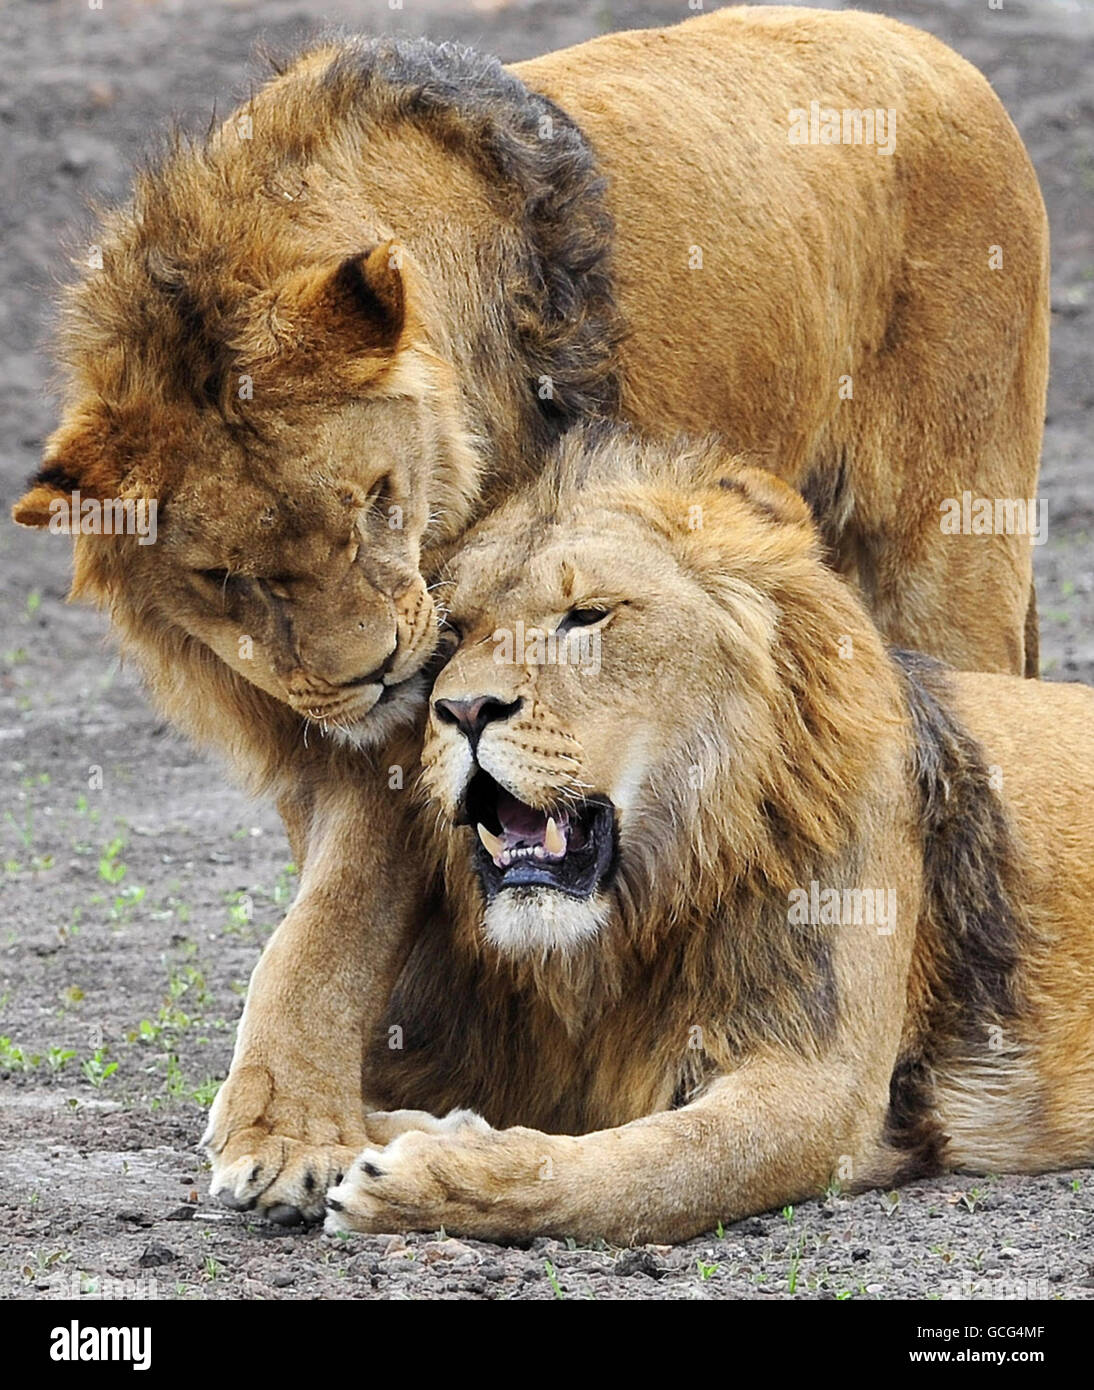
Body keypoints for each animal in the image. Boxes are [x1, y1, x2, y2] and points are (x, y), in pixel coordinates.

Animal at [318, 428, 1094, 1245]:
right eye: (454, 632)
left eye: (586, 616)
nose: (465, 710)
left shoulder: (820, 1086)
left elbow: (639, 1171)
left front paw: (428, 1175)